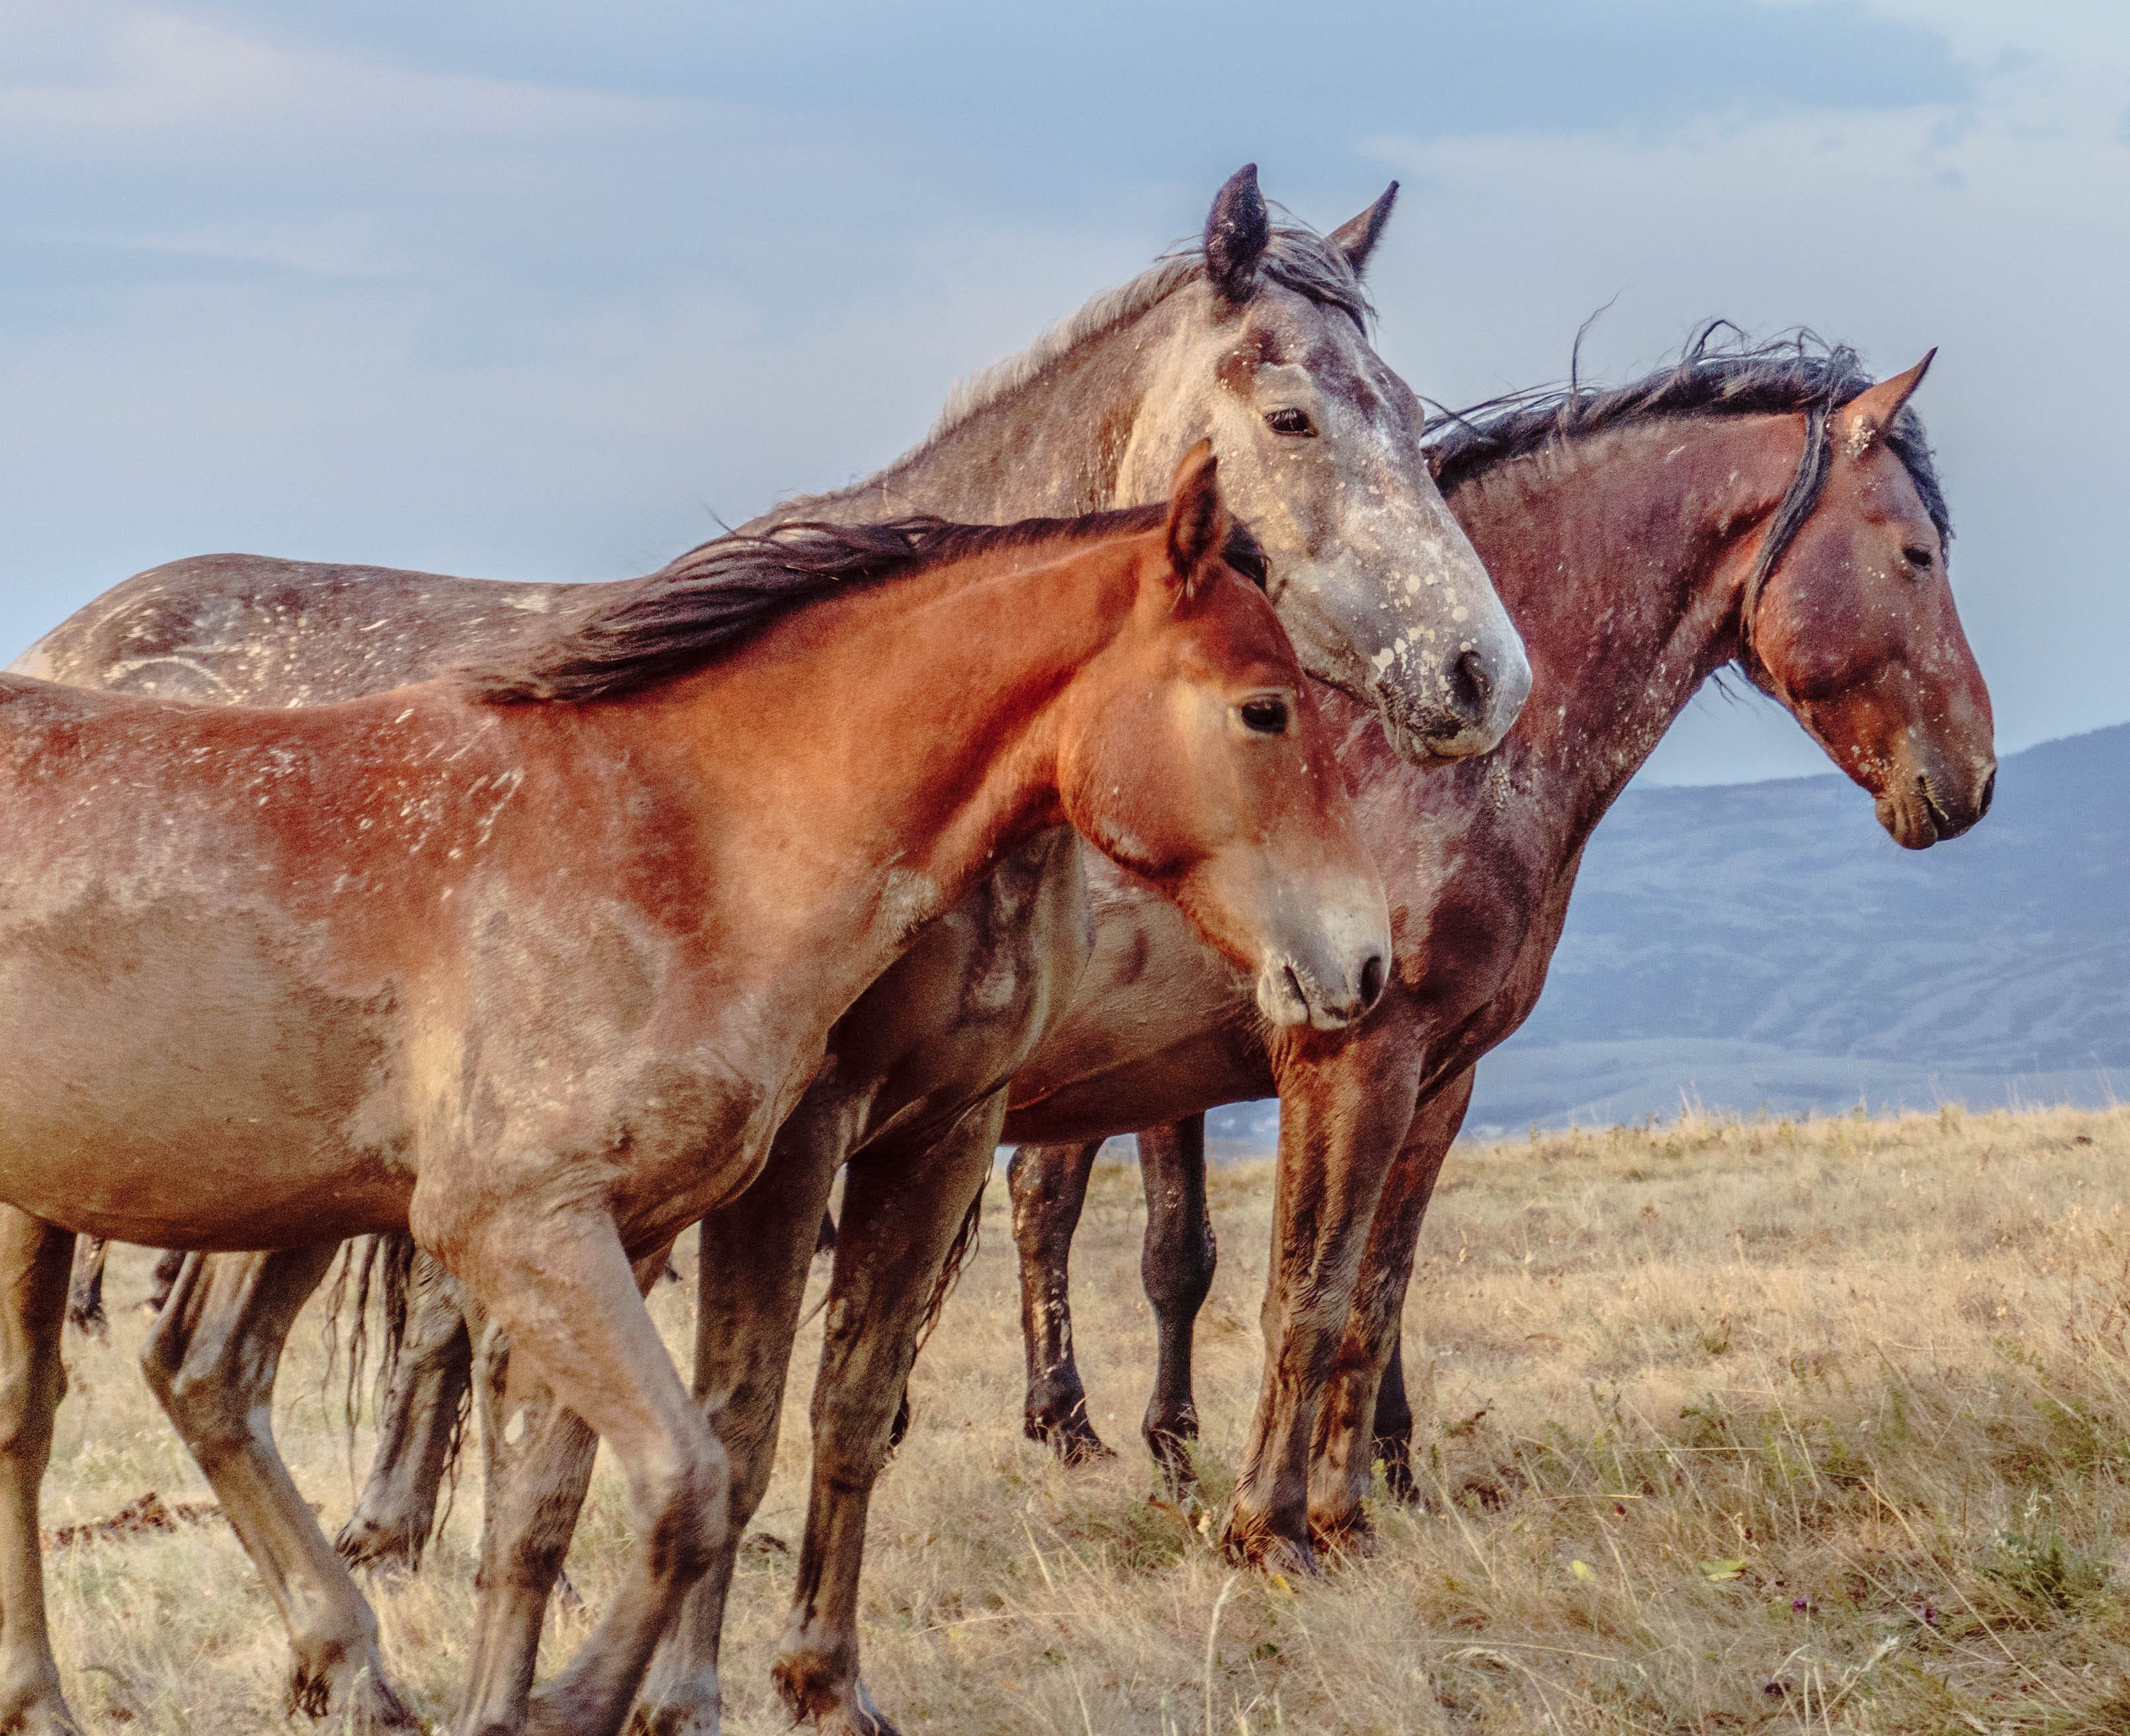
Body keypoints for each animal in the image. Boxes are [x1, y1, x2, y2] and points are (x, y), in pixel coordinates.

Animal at [28, 170, 1510, 1734]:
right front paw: (680, 1692)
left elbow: (849, 1403)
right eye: (1292, 414)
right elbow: (735, 1417)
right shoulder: (798, 1134)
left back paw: (346, 1661)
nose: (1480, 673)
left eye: (1405, 405)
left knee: (206, 1364)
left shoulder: (945, 1123)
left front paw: (822, 1678)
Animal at [1001, 332, 1997, 1568]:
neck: (1412, 754)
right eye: (1916, 553)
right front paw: (1266, 1530)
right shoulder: (1348, 1061)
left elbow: (1374, 1299)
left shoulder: (1439, 1076)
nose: (1974, 775)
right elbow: (1304, 1296)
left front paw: (1346, 1516)